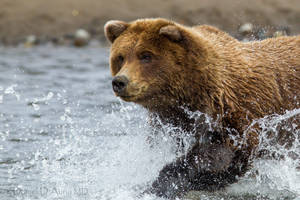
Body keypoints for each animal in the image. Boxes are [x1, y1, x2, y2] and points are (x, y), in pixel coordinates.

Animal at [103, 18, 300, 198]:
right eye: (120, 57)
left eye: (145, 55)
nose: (120, 81)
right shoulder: (171, 122)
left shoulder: (241, 112)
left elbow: (223, 153)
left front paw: (160, 184)